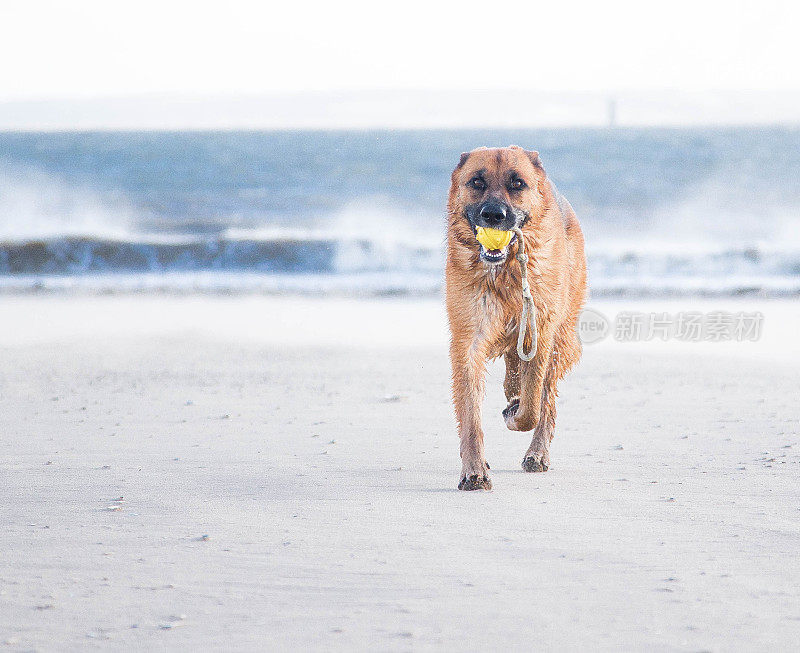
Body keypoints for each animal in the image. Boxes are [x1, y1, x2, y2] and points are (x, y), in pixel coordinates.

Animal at [444, 144, 588, 488]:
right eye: (477, 182)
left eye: (517, 184)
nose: (494, 215)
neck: (505, 269)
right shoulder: (468, 340)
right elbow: (470, 414)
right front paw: (474, 469)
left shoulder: (539, 332)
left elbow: (533, 404)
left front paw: (516, 412)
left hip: (560, 339)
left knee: (546, 402)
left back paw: (537, 452)